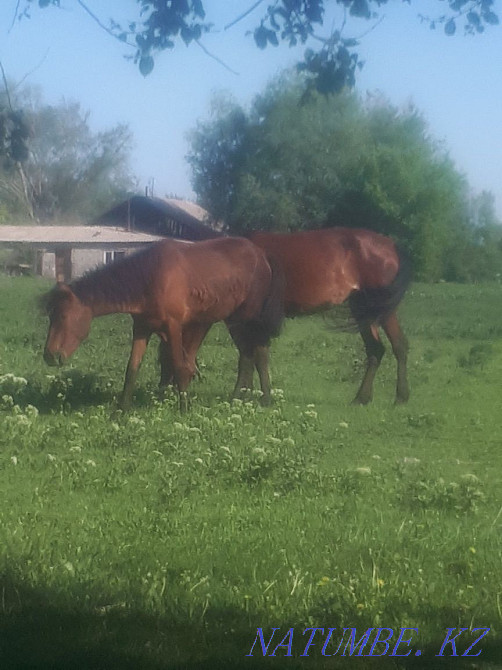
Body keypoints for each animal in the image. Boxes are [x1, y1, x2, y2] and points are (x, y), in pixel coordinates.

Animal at [42, 237, 284, 409]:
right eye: (51, 317)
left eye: (63, 317)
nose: (50, 355)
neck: (149, 278)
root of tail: (261, 255)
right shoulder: (142, 329)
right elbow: (132, 370)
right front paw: (120, 411)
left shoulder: (174, 327)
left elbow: (180, 366)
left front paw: (184, 409)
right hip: (233, 320)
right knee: (246, 355)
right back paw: (238, 399)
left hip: (250, 319)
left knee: (259, 353)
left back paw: (264, 399)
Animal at [231, 227, 411, 405]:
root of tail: (391, 246)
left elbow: (248, 356)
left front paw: (242, 395)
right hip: (364, 309)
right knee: (375, 350)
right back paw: (362, 398)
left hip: (382, 309)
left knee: (399, 345)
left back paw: (401, 397)